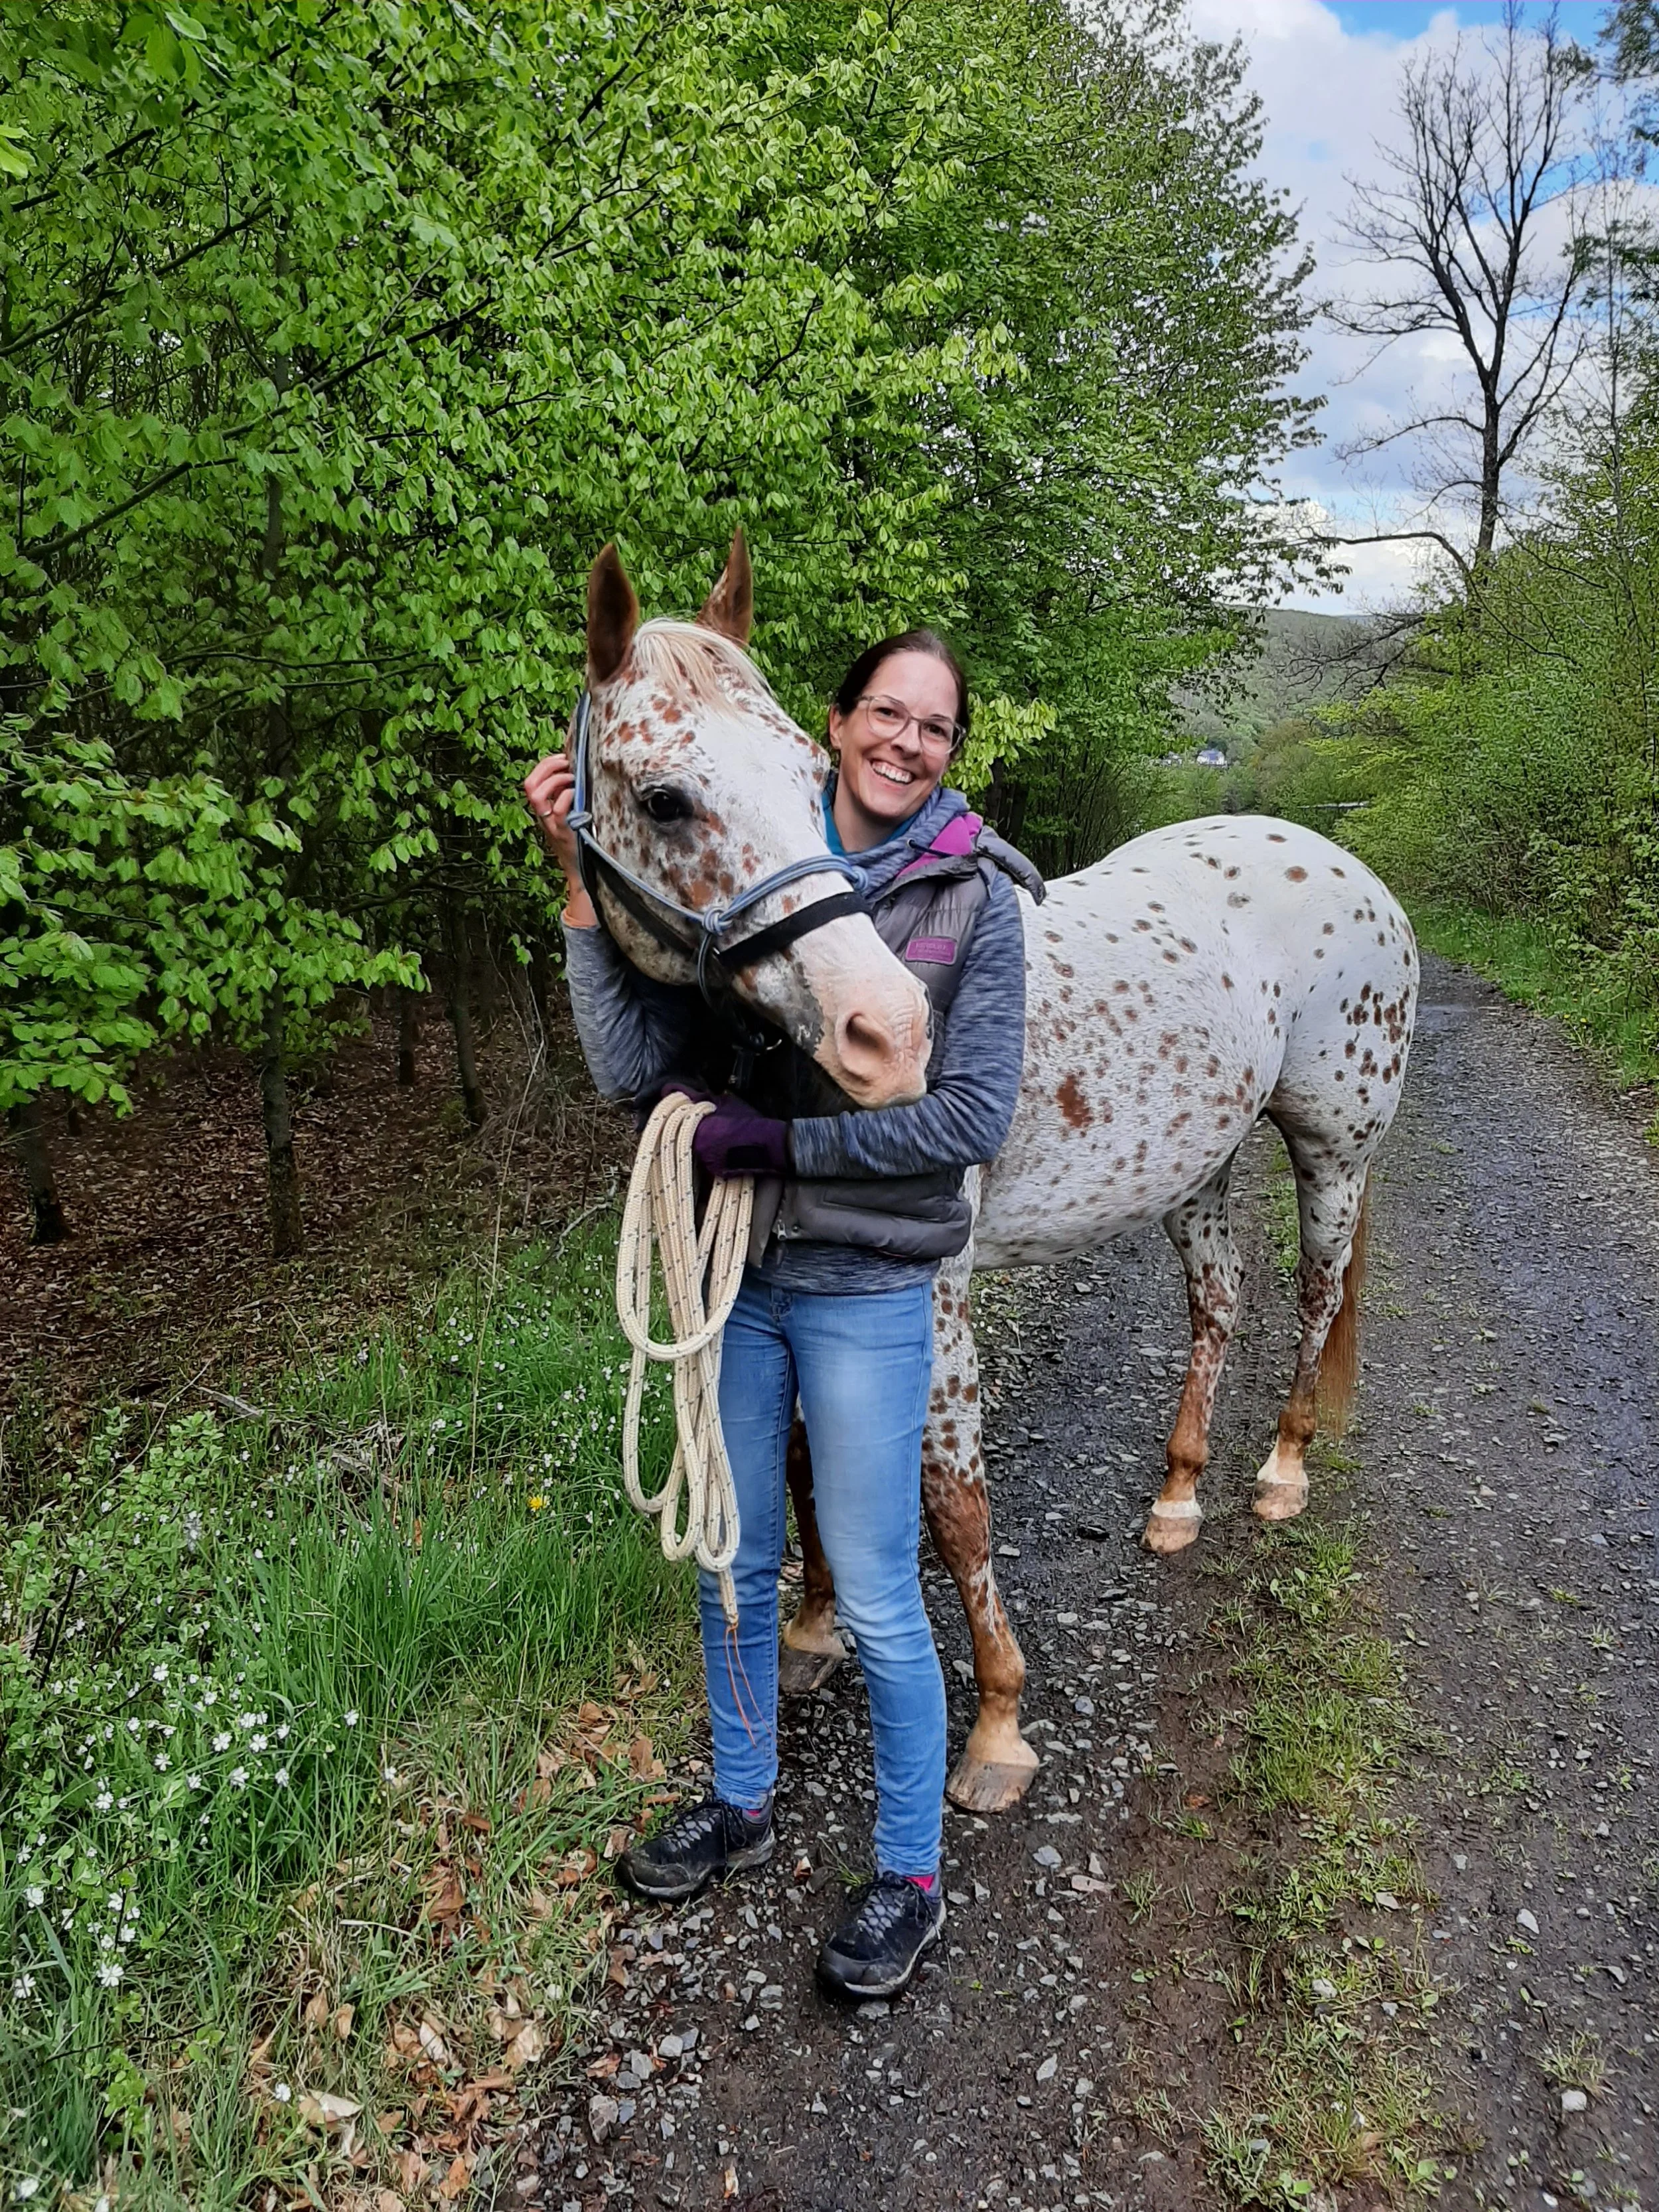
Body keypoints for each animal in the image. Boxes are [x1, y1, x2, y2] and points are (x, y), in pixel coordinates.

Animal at [569, 534, 1419, 1817]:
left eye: (807, 770)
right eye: (665, 797)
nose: (889, 1033)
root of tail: (1349, 867)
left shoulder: (933, 1295)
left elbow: (956, 1509)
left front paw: (998, 1724)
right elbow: (807, 1462)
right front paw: (815, 1630)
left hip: (1333, 1149)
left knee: (1316, 1298)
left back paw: (1278, 1472)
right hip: (1196, 1170)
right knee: (1220, 1302)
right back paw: (1177, 1497)